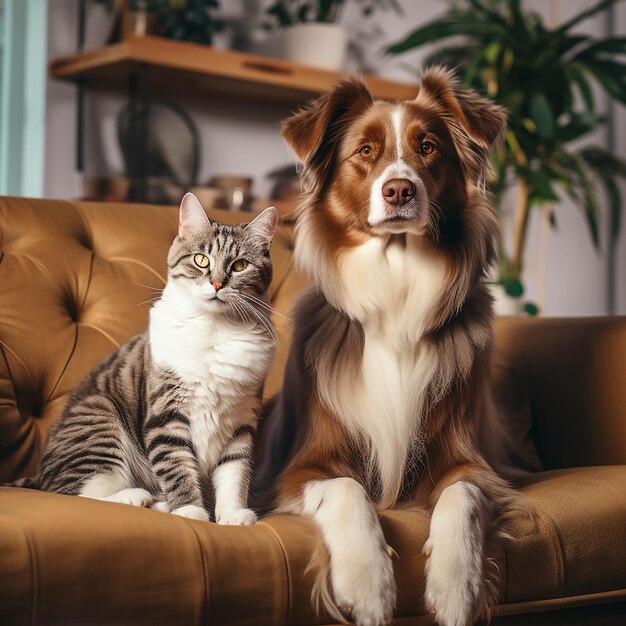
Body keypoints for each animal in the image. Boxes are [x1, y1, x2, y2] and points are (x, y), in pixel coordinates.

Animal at [9, 193, 278, 524]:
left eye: (240, 265)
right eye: (201, 260)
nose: (217, 284)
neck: (215, 329)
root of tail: (38, 474)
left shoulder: (241, 418)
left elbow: (235, 471)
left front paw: (233, 514)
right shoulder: (166, 413)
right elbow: (178, 466)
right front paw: (190, 510)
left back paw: (158, 503)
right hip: (99, 422)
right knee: (77, 492)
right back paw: (136, 497)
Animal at [252, 67, 520, 624]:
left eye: (428, 147)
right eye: (365, 151)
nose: (399, 190)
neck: (395, 286)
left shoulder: (473, 462)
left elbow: (462, 496)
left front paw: (455, 586)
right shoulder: (300, 469)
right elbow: (347, 488)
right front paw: (367, 582)